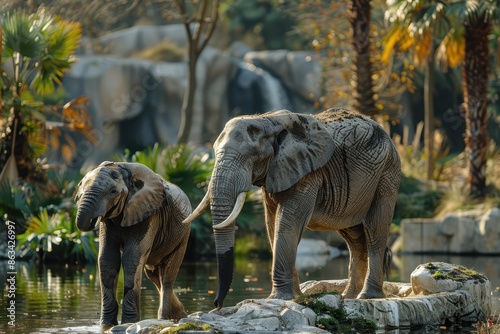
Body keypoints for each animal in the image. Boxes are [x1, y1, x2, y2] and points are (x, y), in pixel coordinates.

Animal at [74, 162, 191, 326]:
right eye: (81, 189)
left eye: (113, 191)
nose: (92, 221)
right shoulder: (108, 222)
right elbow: (107, 258)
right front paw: (106, 324)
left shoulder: (148, 214)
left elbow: (132, 257)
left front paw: (129, 323)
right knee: (154, 275)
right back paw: (180, 315)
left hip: (183, 235)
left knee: (167, 276)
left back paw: (165, 319)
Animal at [184, 108, 402, 310]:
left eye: (252, 155)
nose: (217, 304)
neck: (266, 119)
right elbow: (272, 224)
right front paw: (294, 296)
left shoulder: (308, 173)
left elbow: (288, 222)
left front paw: (280, 298)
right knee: (354, 237)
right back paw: (348, 297)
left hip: (387, 173)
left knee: (374, 229)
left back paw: (367, 296)